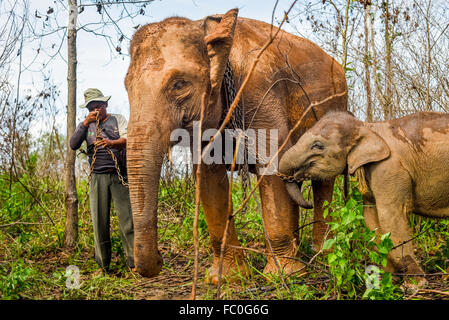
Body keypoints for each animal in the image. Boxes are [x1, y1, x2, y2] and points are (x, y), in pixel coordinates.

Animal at [124, 8, 348, 282]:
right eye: (126, 87)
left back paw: (322, 256)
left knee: (323, 183)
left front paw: (283, 276)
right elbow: (210, 179)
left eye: (179, 84)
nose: (159, 258)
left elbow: (270, 165)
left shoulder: (261, 93)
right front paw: (223, 279)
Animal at [278, 111, 448, 286]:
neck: (368, 127)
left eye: (317, 145)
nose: (309, 203)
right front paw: (385, 279)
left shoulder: (389, 169)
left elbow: (390, 217)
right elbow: (371, 219)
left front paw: (414, 284)